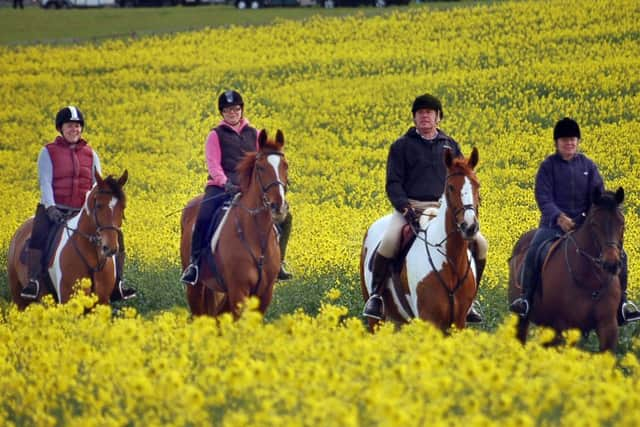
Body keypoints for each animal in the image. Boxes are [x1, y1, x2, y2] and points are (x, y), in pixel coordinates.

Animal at [8, 171, 129, 310]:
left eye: (123, 207)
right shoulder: (68, 299)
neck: (93, 257)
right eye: (99, 205)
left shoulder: (103, 302)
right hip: (19, 298)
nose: (110, 248)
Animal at [181, 129, 288, 320]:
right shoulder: (239, 290)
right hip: (195, 288)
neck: (257, 236)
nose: (279, 206)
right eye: (260, 167)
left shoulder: (265, 293)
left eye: (286, 166)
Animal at [360, 149, 480, 332]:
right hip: (376, 320)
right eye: (451, 187)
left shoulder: (459, 323)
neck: (451, 262)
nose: (469, 226)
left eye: (477, 185)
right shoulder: (429, 319)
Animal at [508, 189, 624, 352]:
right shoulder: (565, 326)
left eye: (622, 223)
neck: (592, 280)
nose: (611, 264)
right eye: (594, 224)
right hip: (522, 318)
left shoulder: (608, 326)